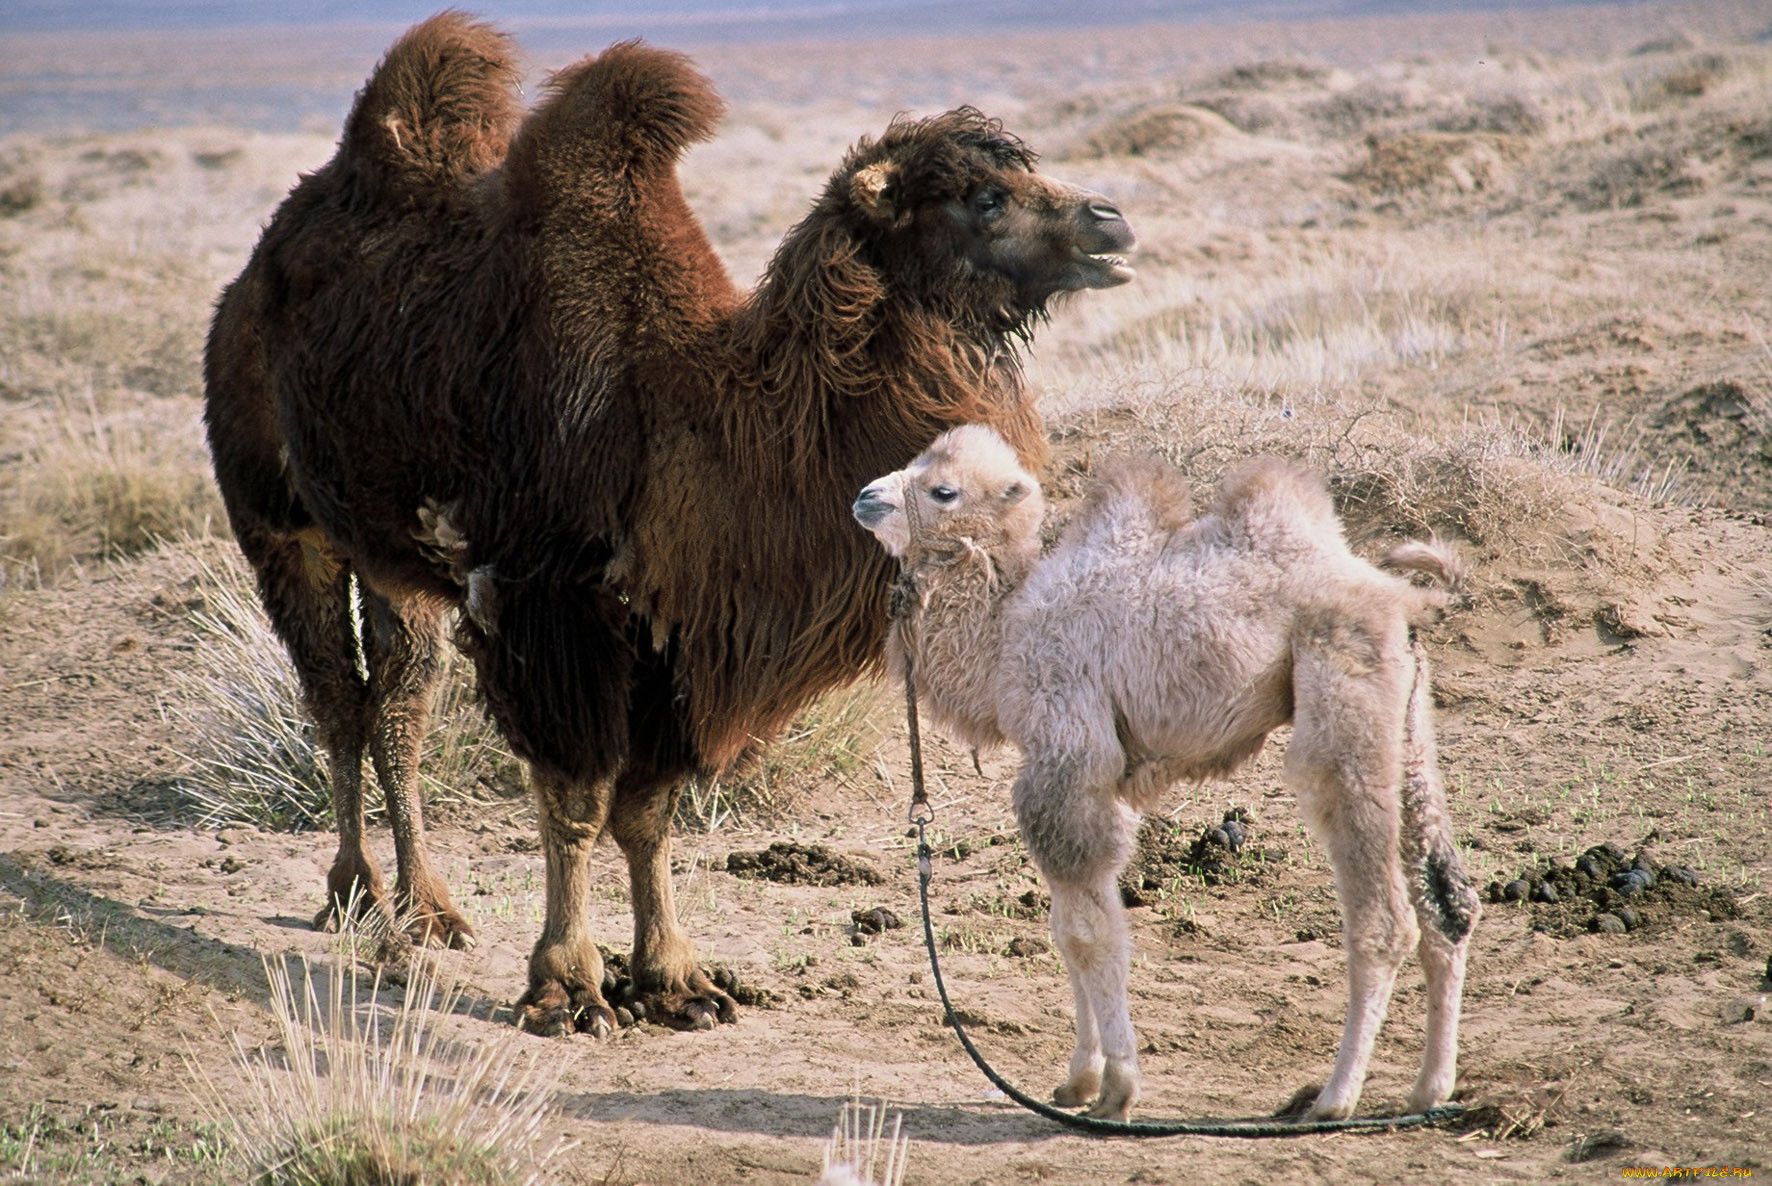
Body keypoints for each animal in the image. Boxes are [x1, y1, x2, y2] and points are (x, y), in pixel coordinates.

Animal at [197, 13, 1134, 1028]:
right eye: (983, 198)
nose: (1111, 221)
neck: (694, 413)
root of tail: (255, 272)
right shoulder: (548, 608)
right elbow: (573, 800)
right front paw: (567, 988)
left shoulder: (683, 632)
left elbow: (647, 815)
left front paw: (676, 981)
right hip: (281, 524)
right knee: (336, 698)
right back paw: (355, 892)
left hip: (392, 559)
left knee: (399, 701)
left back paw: (428, 908)